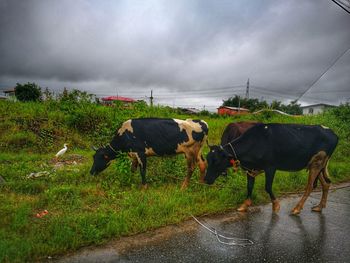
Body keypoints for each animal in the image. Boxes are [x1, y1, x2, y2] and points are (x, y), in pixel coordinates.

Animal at [204, 123, 338, 214]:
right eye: (207, 159)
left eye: (216, 161)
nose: (206, 179)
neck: (257, 141)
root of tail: (333, 133)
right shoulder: (251, 168)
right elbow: (249, 186)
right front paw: (245, 204)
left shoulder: (270, 167)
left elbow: (267, 187)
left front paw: (276, 205)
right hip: (317, 164)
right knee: (326, 183)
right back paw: (319, 207)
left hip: (318, 163)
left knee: (310, 187)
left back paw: (297, 208)